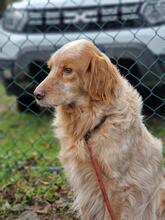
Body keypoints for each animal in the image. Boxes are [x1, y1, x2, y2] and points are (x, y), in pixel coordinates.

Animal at [34, 40, 164, 220]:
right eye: (50, 68)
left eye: (67, 70)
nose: (36, 94)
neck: (88, 125)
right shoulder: (84, 185)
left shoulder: (116, 185)